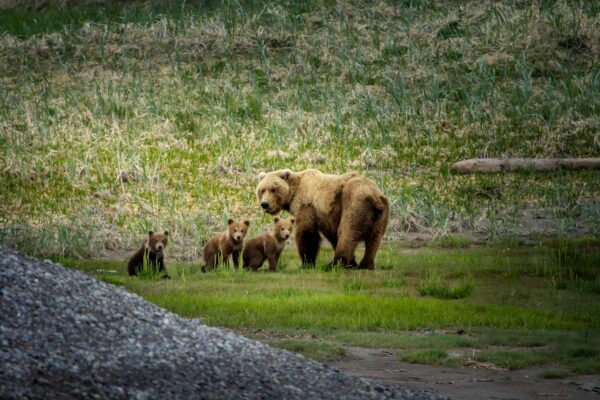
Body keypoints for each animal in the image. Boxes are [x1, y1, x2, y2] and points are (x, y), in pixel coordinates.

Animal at [254, 168, 390, 268]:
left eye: (273, 189)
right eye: (262, 190)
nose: (265, 204)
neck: (293, 194)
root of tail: (374, 196)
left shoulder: (307, 206)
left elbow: (307, 233)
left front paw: (306, 263)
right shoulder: (327, 216)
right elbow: (332, 235)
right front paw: (353, 262)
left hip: (354, 204)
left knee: (347, 232)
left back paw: (335, 264)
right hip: (381, 215)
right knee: (374, 240)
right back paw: (366, 265)